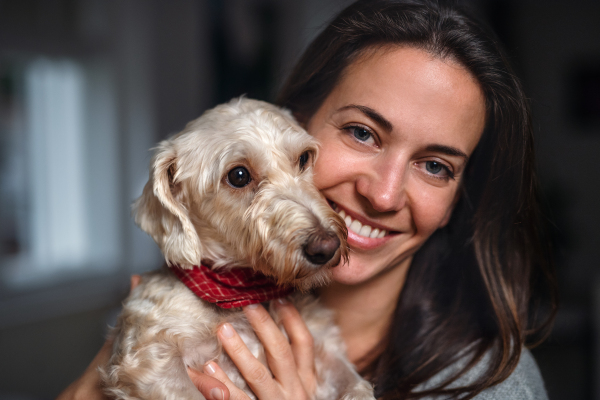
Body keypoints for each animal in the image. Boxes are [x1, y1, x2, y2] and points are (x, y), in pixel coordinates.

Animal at [102, 97, 376, 400]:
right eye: (239, 175)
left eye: (304, 158)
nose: (326, 247)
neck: (241, 292)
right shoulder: (149, 358)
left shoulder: (325, 347)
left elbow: (357, 386)